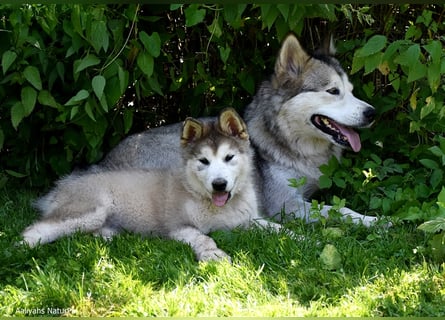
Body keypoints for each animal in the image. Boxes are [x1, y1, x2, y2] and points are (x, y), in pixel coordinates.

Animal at [99, 34, 374, 225]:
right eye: (333, 91)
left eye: (351, 90)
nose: (371, 113)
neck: (285, 141)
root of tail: (102, 165)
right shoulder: (285, 205)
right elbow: (340, 210)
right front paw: (376, 221)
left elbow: (339, 206)